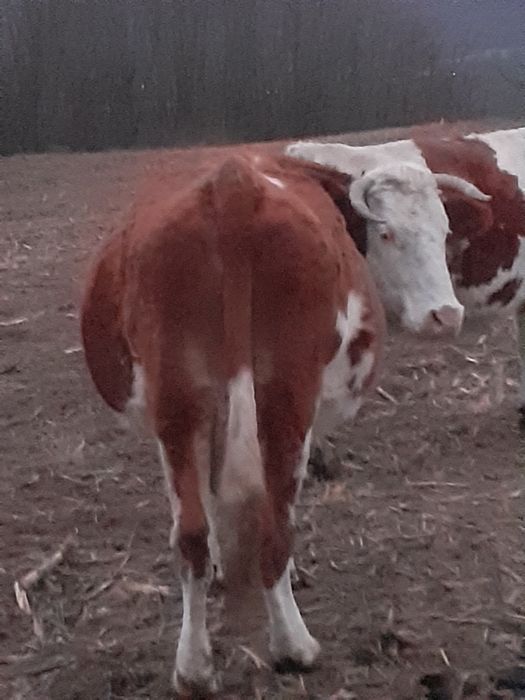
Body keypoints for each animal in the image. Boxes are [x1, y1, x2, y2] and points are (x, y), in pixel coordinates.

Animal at [80, 150, 462, 694]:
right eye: (389, 234)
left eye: (445, 230)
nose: (446, 315)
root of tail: (235, 185)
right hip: (287, 395)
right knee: (275, 525)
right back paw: (293, 647)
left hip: (178, 400)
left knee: (191, 536)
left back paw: (193, 668)